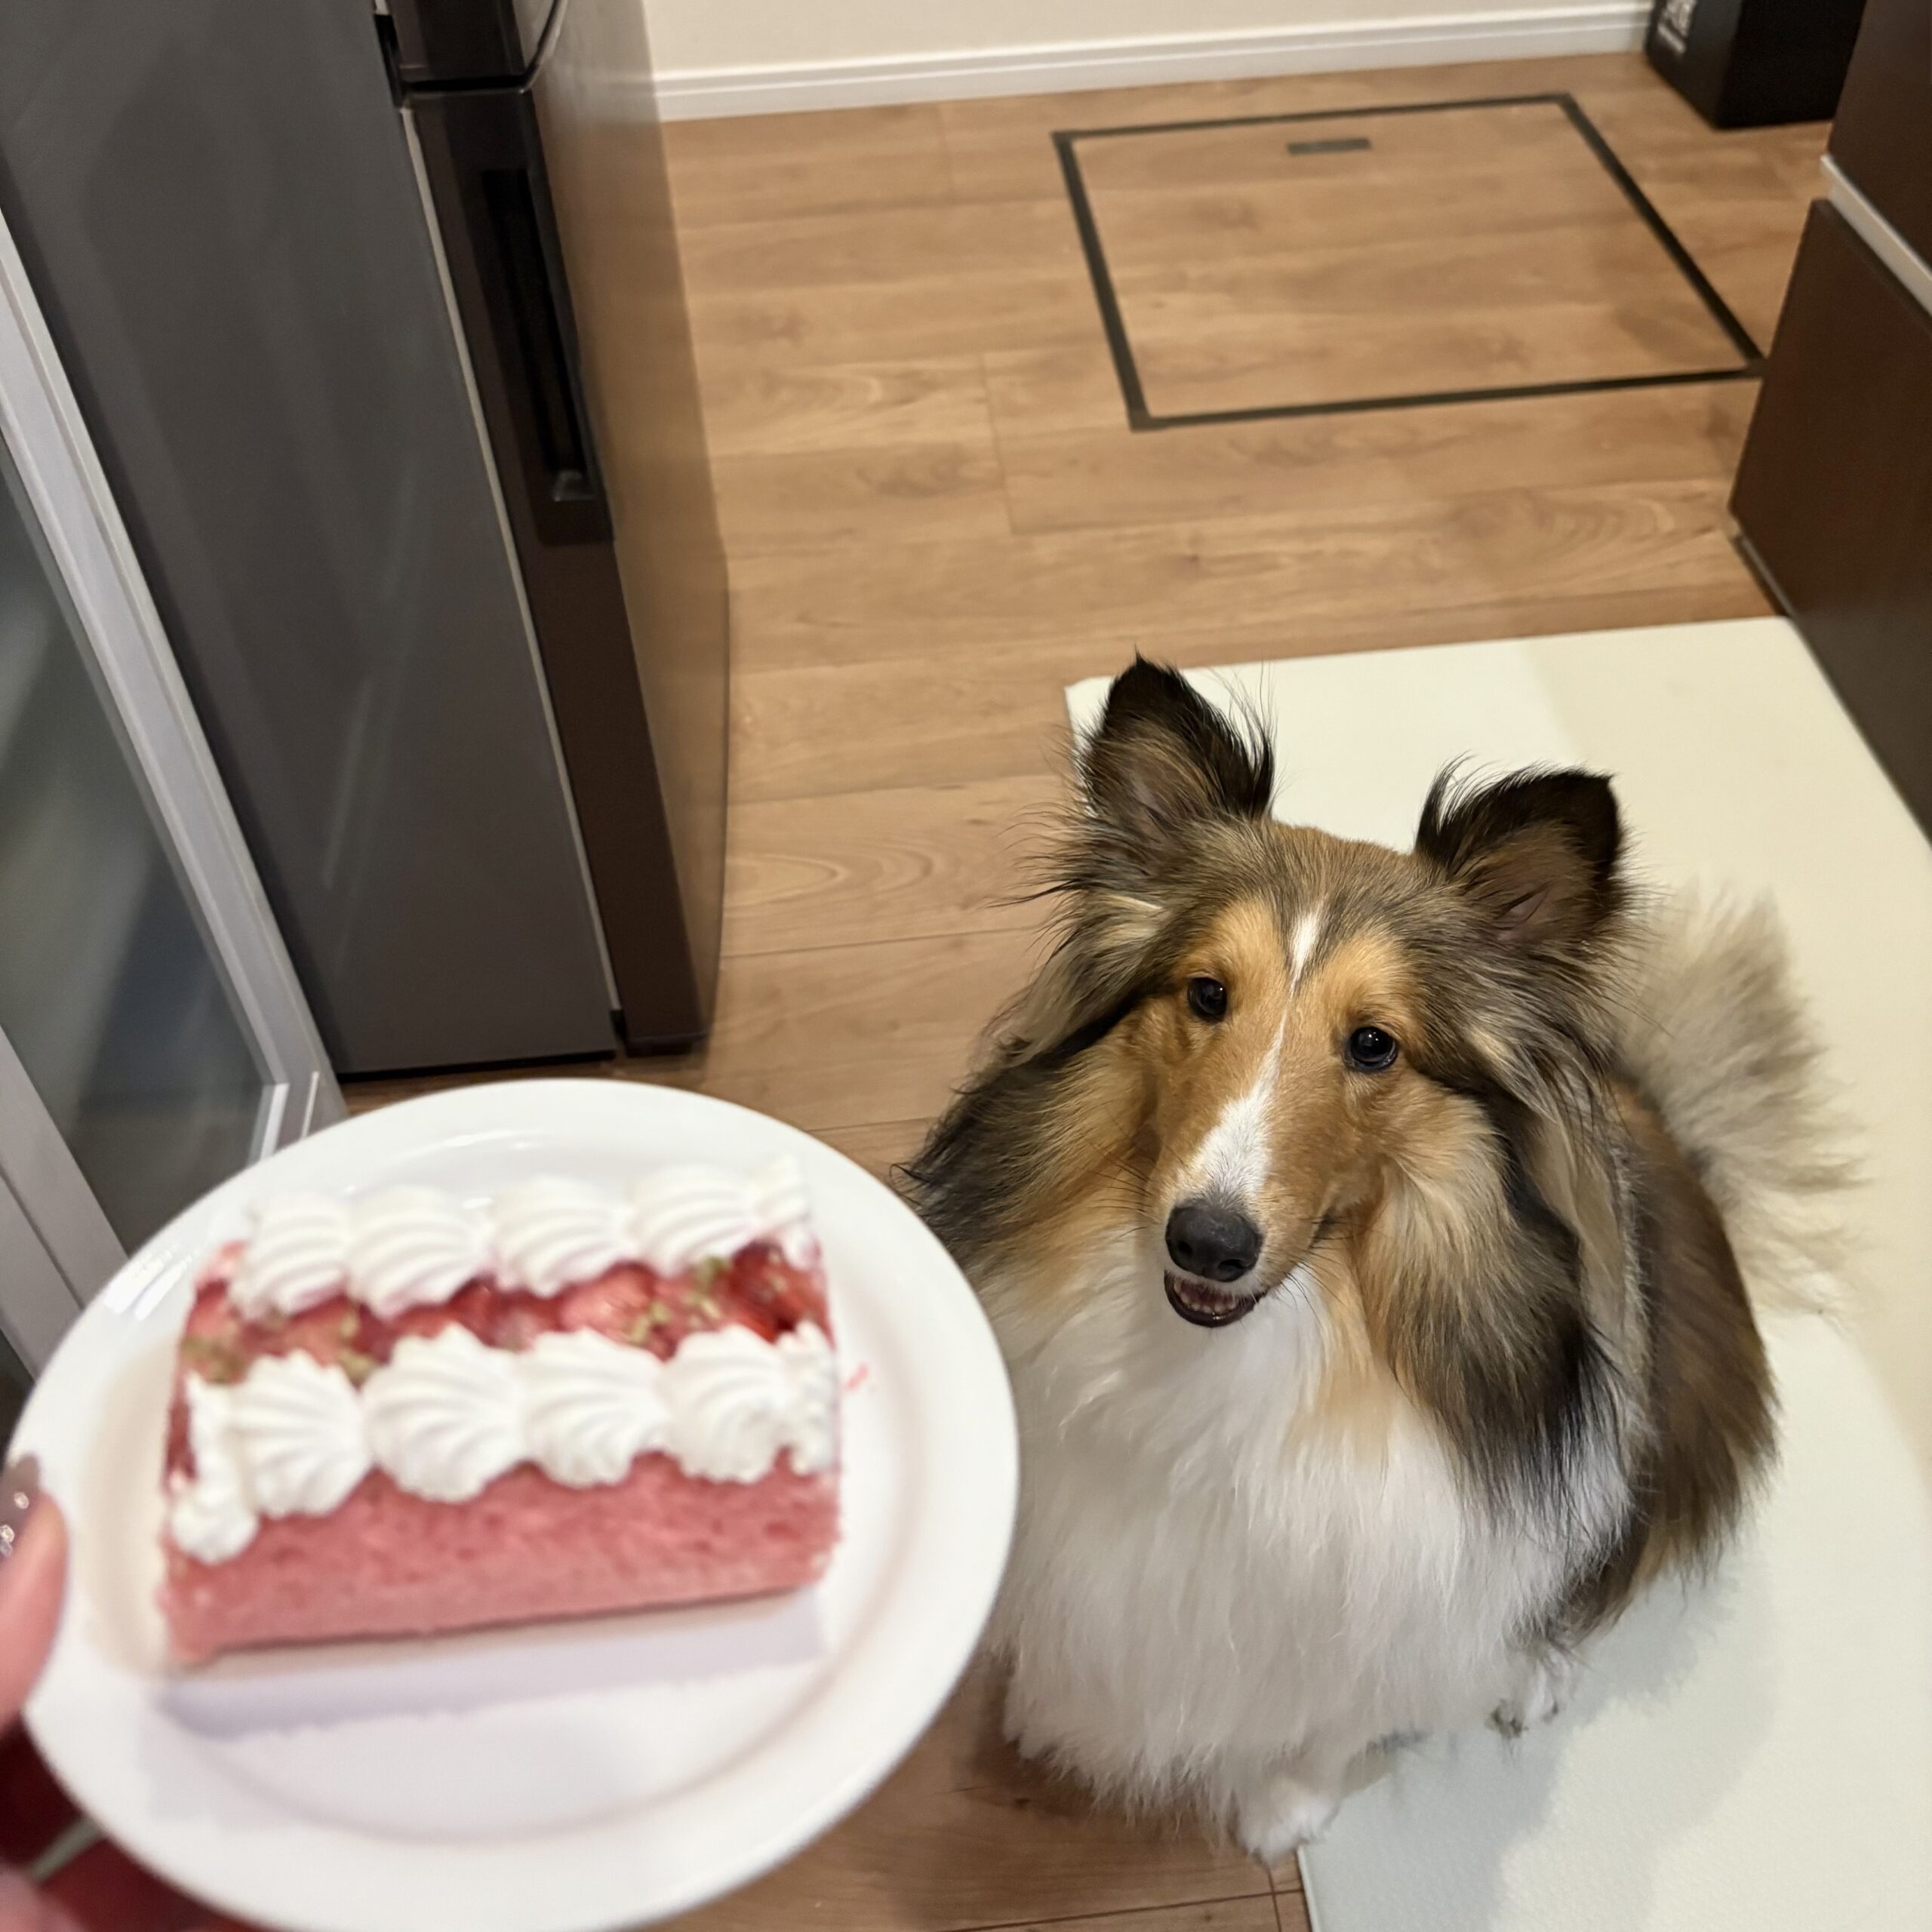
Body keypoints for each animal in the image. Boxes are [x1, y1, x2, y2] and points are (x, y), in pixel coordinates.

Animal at [903, 658, 1843, 1860]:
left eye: (1373, 1045)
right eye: (1206, 994)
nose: (1206, 1241)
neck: (1260, 1350)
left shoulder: (1399, 1593)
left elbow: (1341, 1714)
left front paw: (1285, 1811)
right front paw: (1041, 1701)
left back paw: (1530, 1675)